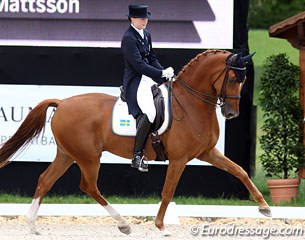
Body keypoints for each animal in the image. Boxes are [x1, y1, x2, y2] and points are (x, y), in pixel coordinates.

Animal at [0, 49, 270, 235]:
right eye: (233, 79)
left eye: (244, 81)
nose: (231, 113)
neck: (191, 105)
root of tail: (63, 103)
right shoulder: (179, 159)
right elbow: (167, 191)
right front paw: (161, 226)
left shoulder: (208, 153)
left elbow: (240, 171)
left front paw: (264, 207)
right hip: (88, 157)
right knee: (89, 186)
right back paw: (124, 224)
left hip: (67, 154)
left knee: (45, 180)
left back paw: (33, 225)